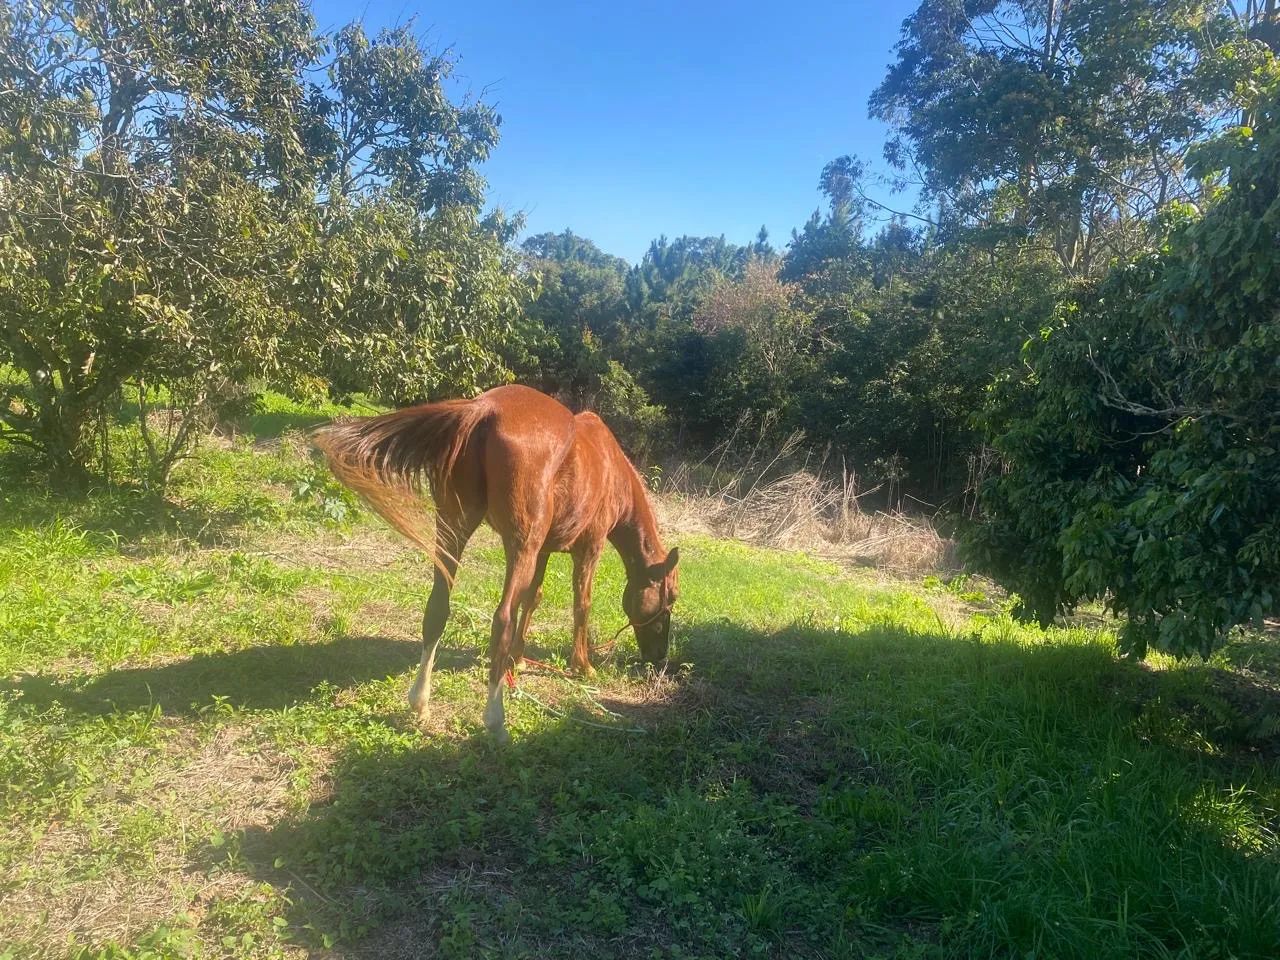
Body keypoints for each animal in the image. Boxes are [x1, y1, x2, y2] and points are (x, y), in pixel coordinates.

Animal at [313, 384, 680, 740]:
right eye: (670, 599)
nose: (659, 658)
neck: (610, 468)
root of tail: (484, 409)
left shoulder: (543, 551)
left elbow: (532, 598)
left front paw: (517, 660)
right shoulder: (588, 548)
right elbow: (581, 604)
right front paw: (582, 665)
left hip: (454, 529)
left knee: (437, 609)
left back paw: (420, 701)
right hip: (518, 545)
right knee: (501, 619)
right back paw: (495, 720)